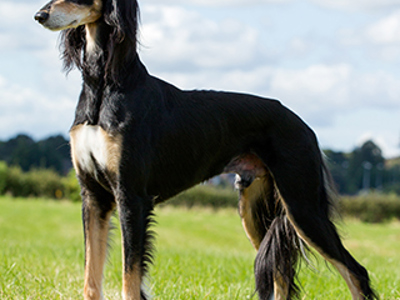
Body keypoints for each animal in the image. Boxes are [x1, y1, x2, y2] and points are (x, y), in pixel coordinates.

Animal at [35, 0, 378, 300]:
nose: (40, 15)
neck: (105, 83)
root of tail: (303, 125)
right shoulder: (92, 196)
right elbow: (91, 279)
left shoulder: (131, 195)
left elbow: (130, 280)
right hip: (255, 208)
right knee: (281, 275)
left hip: (301, 204)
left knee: (356, 272)